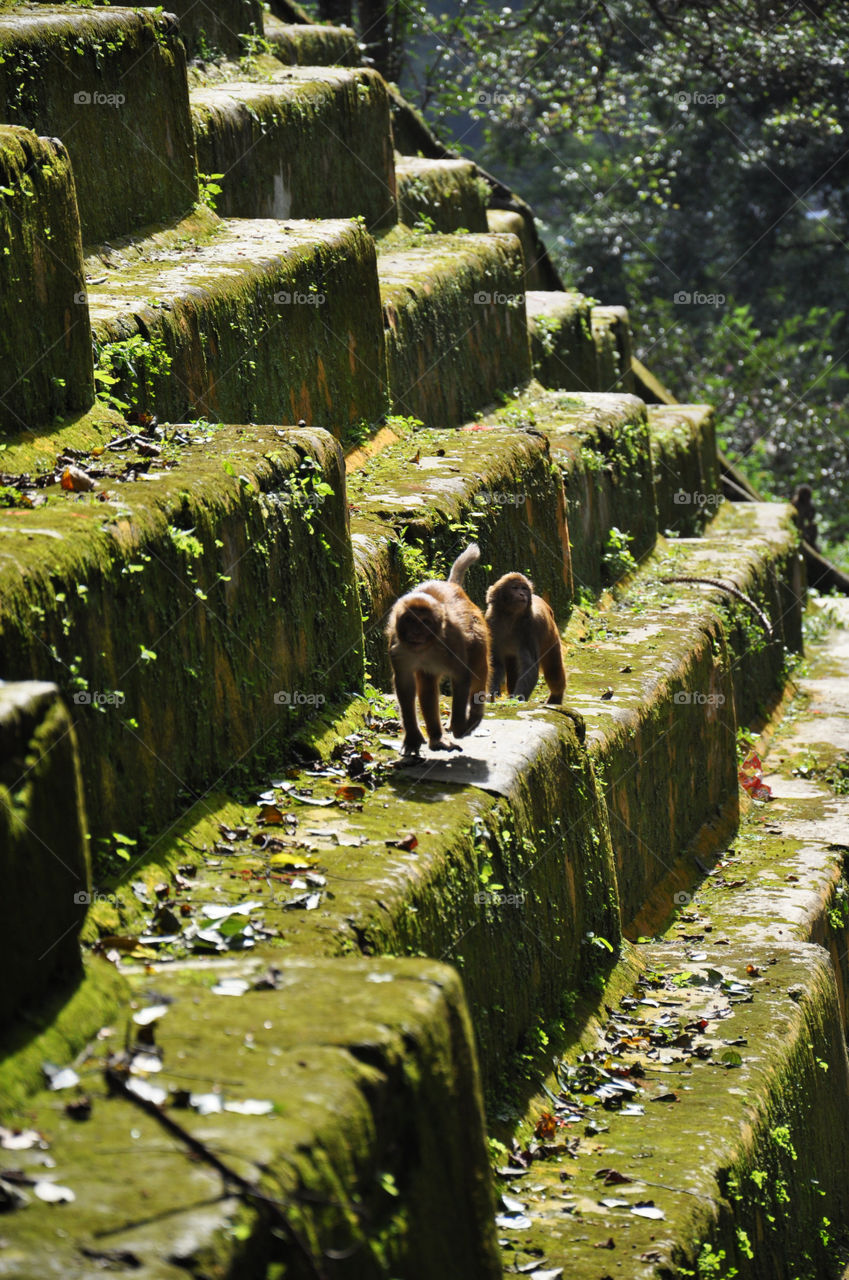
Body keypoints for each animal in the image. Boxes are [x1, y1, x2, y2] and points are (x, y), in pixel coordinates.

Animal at [386, 542, 489, 757]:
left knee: (478, 666)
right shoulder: (397, 648)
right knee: (426, 686)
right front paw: (412, 738)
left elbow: (462, 675)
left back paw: (474, 716)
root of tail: (453, 586)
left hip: (478, 627)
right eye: (410, 620)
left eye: (425, 622)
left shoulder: (452, 639)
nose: (416, 632)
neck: (425, 648)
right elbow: (405, 685)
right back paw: (436, 738)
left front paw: (458, 726)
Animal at [484, 573, 563, 706]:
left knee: (553, 670)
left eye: (524, 588)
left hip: (551, 639)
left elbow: (529, 665)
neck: (510, 618)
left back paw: (556, 698)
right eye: (515, 588)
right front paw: (491, 694)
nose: (522, 594)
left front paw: (517, 699)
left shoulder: (530, 627)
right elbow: (495, 661)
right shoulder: (491, 623)